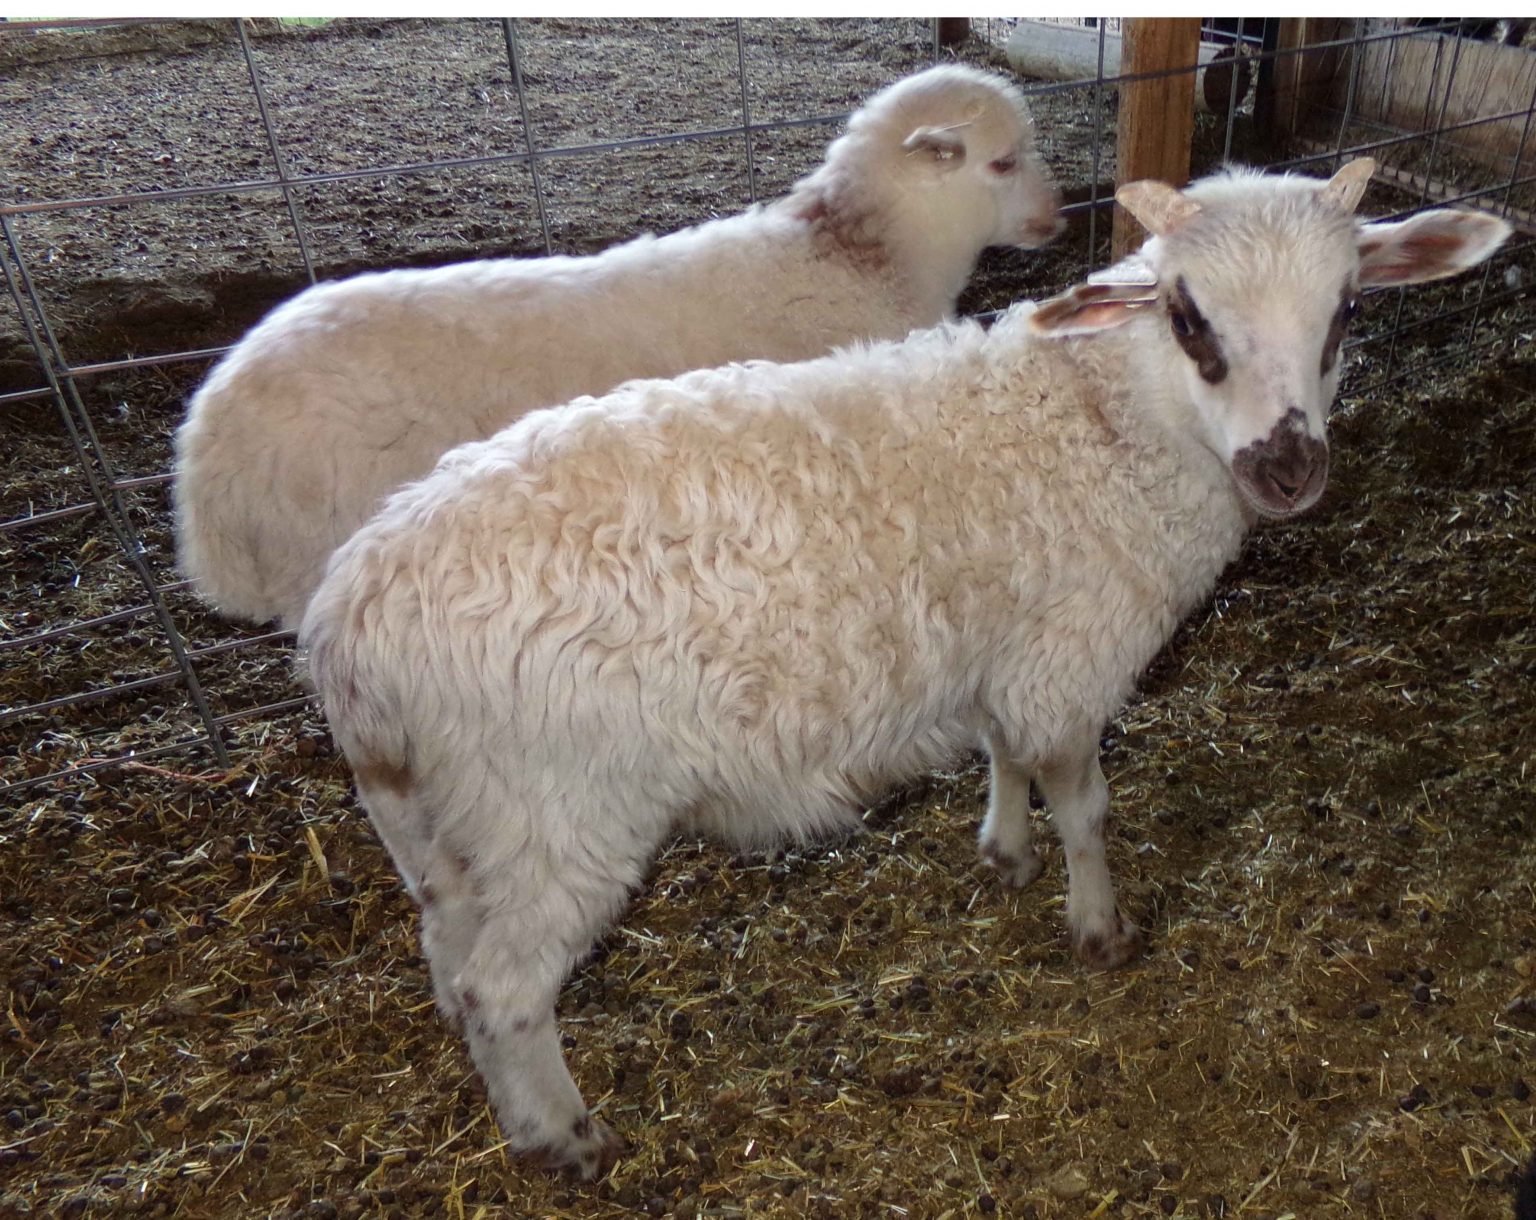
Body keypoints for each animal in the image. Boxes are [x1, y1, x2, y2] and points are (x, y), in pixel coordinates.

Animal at [299, 158, 1510, 1176]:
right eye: (1186, 315)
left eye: (1346, 309)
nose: (1290, 466)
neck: (1101, 420)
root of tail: (351, 616)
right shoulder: (1070, 655)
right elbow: (1085, 801)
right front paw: (1099, 927)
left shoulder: (1006, 648)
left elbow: (1005, 756)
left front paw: (1005, 853)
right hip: (556, 806)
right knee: (505, 989)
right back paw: (565, 1136)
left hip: (441, 820)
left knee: (453, 959)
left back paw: (507, 1102)